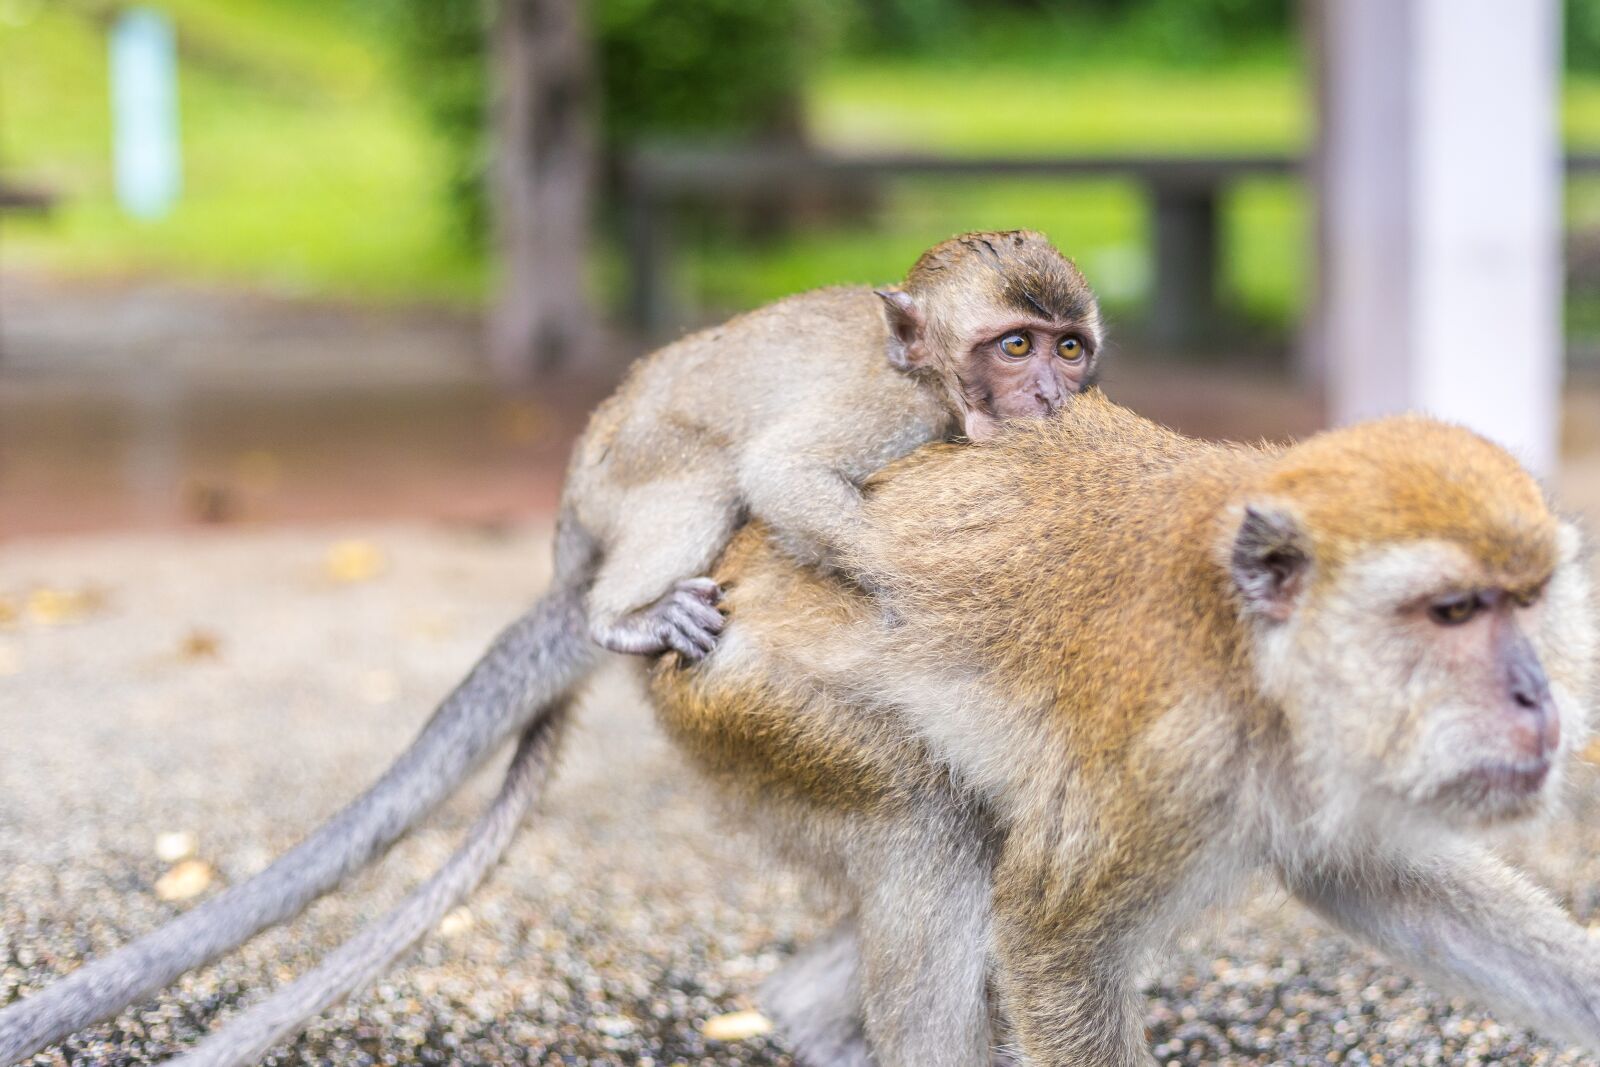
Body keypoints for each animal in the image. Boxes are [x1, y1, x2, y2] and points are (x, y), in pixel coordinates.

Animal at [0, 229, 1104, 1065]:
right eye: (1013, 346)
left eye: (1069, 349)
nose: (1051, 398)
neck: (931, 382)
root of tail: (572, 508)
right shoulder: (890, 412)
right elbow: (784, 473)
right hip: (631, 479)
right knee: (704, 477)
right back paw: (617, 616)